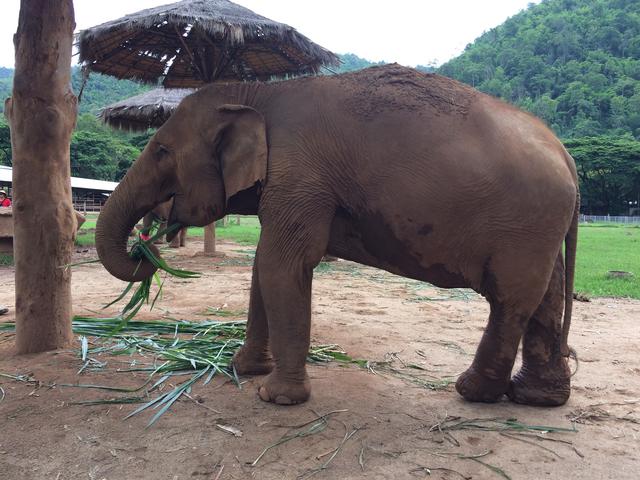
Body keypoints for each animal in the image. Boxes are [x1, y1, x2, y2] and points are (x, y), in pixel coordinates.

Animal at [95, 64, 579, 407]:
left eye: (161, 150)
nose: (146, 248)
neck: (257, 94)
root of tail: (566, 154)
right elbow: (263, 267)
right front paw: (245, 369)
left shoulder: (300, 173)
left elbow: (282, 264)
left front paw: (276, 398)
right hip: (541, 228)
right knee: (547, 297)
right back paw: (538, 398)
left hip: (524, 225)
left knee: (510, 301)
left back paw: (473, 391)